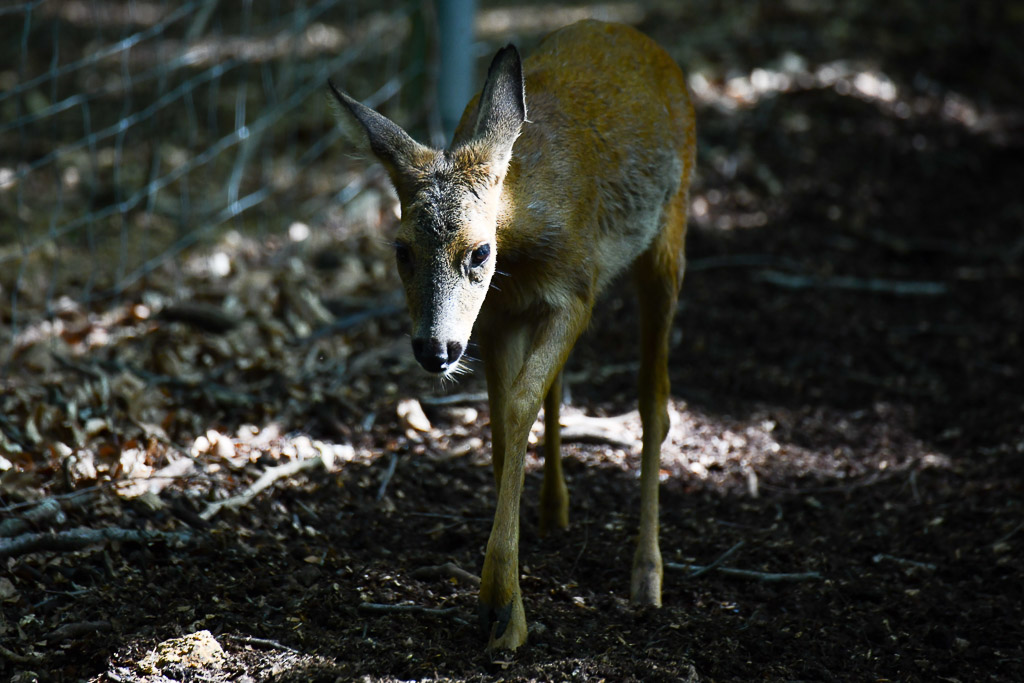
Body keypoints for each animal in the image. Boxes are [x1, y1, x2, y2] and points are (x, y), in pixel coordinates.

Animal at [328, 19, 695, 651]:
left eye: (479, 251)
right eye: (401, 249)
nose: (435, 348)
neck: (520, 237)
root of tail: (634, 35)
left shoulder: (577, 291)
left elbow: (521, 403)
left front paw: (504, 611)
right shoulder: (499, 317)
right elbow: (504, 420)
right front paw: (501, 592)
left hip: (669, 230)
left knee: (655, 400)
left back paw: (647, 577)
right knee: (559, 390)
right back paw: (554, 512)